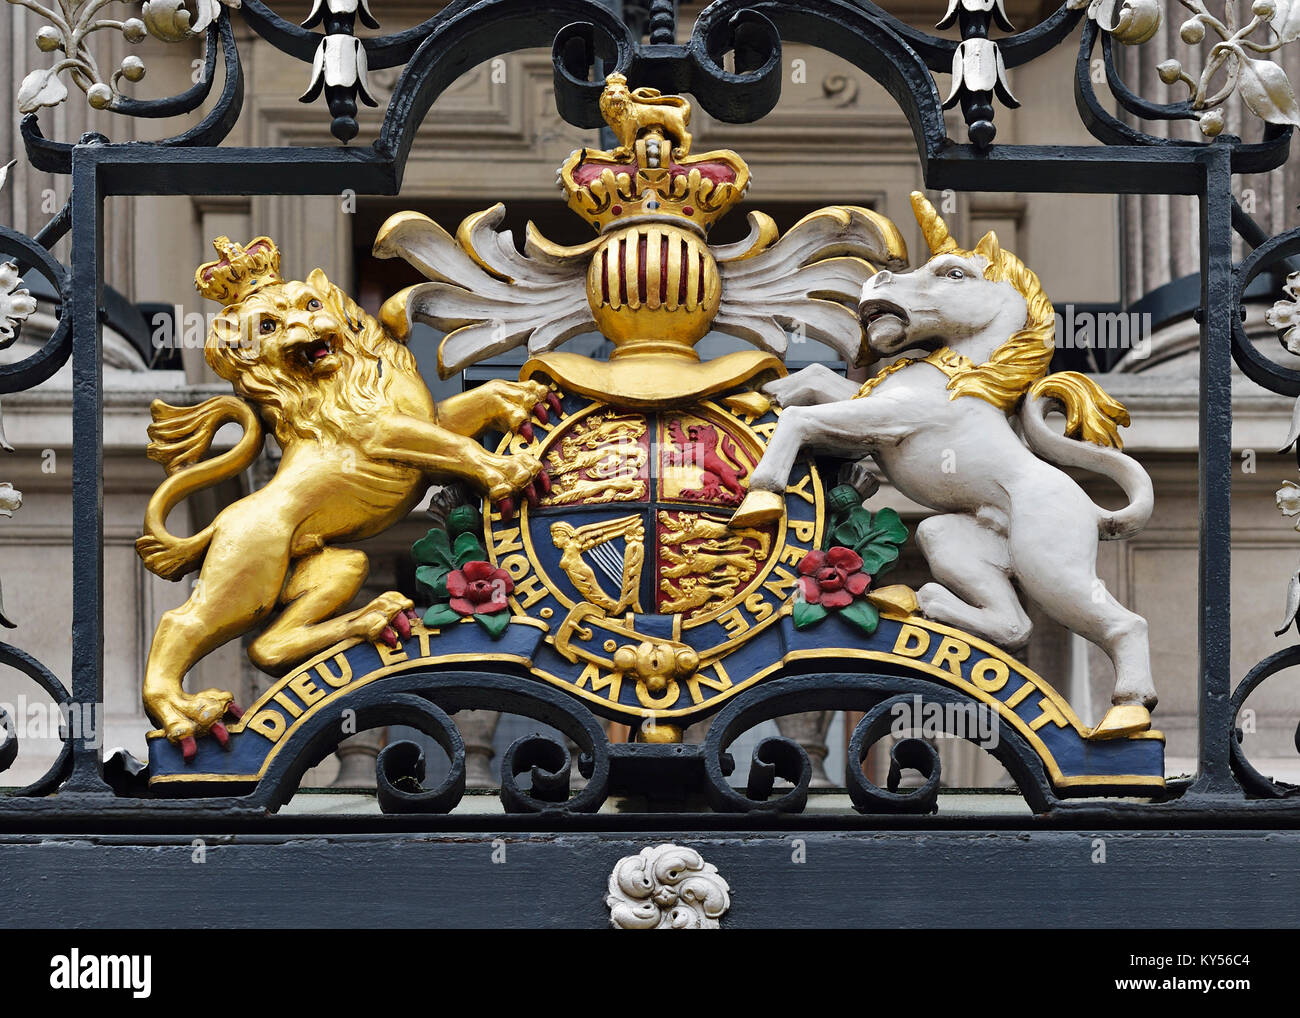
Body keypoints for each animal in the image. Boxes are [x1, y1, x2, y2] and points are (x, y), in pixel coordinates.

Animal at [137, 235, 553, 754]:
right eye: (268, 326)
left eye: (311, 304)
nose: (309, 329)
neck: (345, 376)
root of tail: (219, 523)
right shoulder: (382, 433)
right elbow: (455, 445)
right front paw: (512, 472)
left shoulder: (426, 415)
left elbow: (477, 402)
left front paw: (527, 400)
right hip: (246, 577)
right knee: (182, 624)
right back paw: (188, 714)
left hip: (337, 564)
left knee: (267, 645)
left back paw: (378, 617)